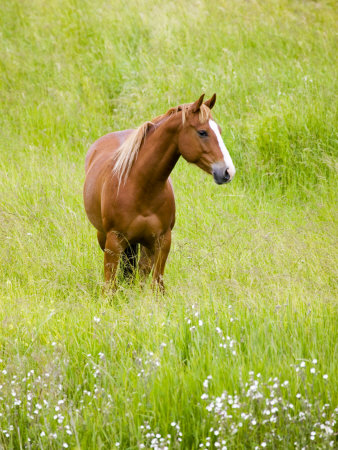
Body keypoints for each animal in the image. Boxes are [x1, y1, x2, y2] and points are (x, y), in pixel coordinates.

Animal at [83, 94, 235, 292]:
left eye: (219, 130)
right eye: (202, 132)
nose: (228, 171)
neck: (140, 186)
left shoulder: (162, 241)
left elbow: (156, 285)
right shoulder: (113, 243)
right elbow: (109, 287)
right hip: (104, 238)